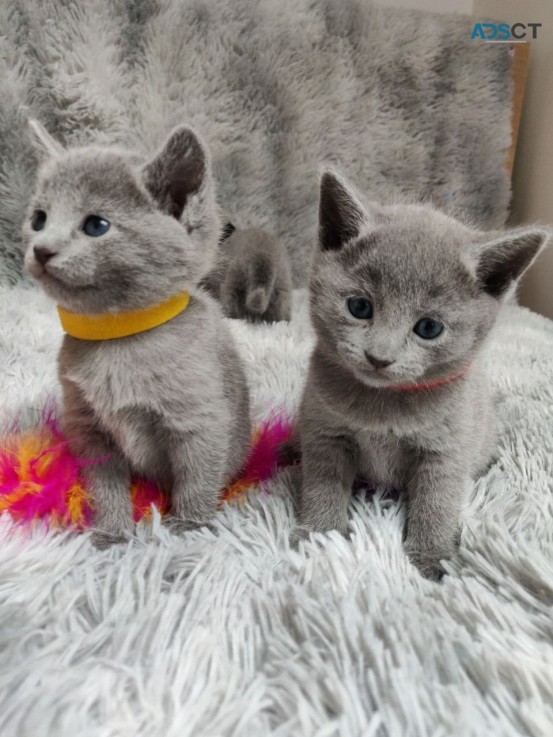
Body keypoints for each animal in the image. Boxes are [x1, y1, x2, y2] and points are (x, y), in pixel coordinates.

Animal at [23, 119, 250, 548]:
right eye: (39, 219)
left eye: (96, 225)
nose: (41, 249)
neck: (120, 338)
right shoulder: (88, 427)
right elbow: (104, 485)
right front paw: (112, 531)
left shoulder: (199, 419)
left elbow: (197, 475)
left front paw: (188, 525)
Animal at [294, 171, 548, 580]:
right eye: (359, 307)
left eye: (429, 328)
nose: (379, 357)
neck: (382, 404)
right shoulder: (324, 433)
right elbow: (322, 484)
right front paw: (319, 537)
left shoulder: (445, 451)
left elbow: (436, 503)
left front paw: (431, 559)